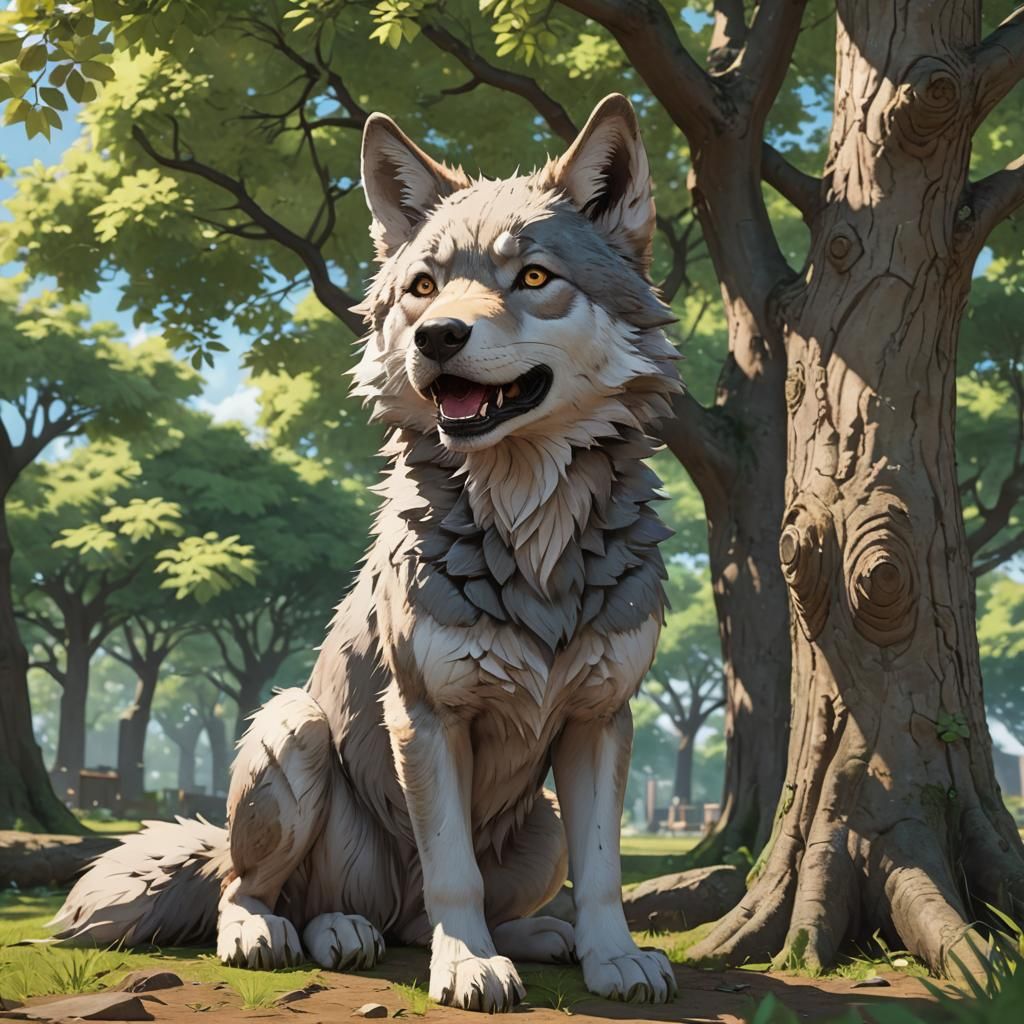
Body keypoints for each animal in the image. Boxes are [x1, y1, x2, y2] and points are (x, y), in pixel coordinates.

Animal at [52, 94, 682, 1012]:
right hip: (293, 727)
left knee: (417, 918)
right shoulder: (426, 714)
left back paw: (533, 937)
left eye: (533, 278)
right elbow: (452, 868)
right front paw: (469, 968)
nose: (437, 336)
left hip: (542, 829)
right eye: (422, 287)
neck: (530, 529)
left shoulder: (602, 719)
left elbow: (603, 872)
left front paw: (615, 961)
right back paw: (296, 933)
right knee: (264, 888)